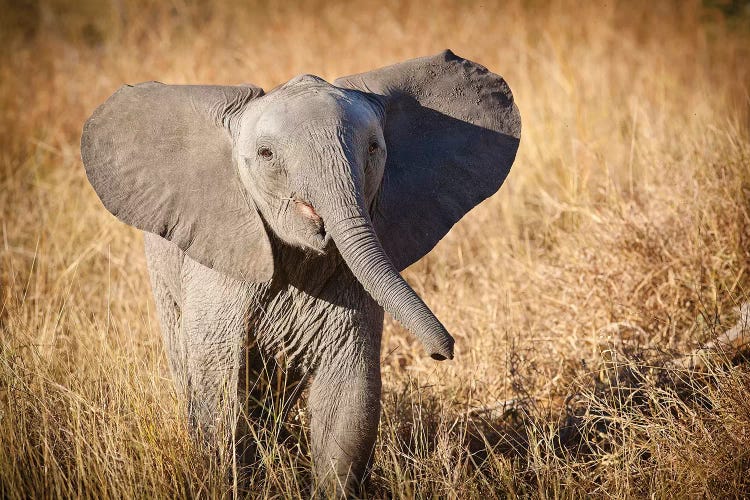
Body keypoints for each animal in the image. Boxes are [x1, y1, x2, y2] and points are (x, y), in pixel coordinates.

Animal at [78, 50, 524, 496]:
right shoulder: (220, 265)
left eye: (374, 148)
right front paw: (233, 482)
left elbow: (347, 394)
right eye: (266, 155)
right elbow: (218, 383)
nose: (443, 351)